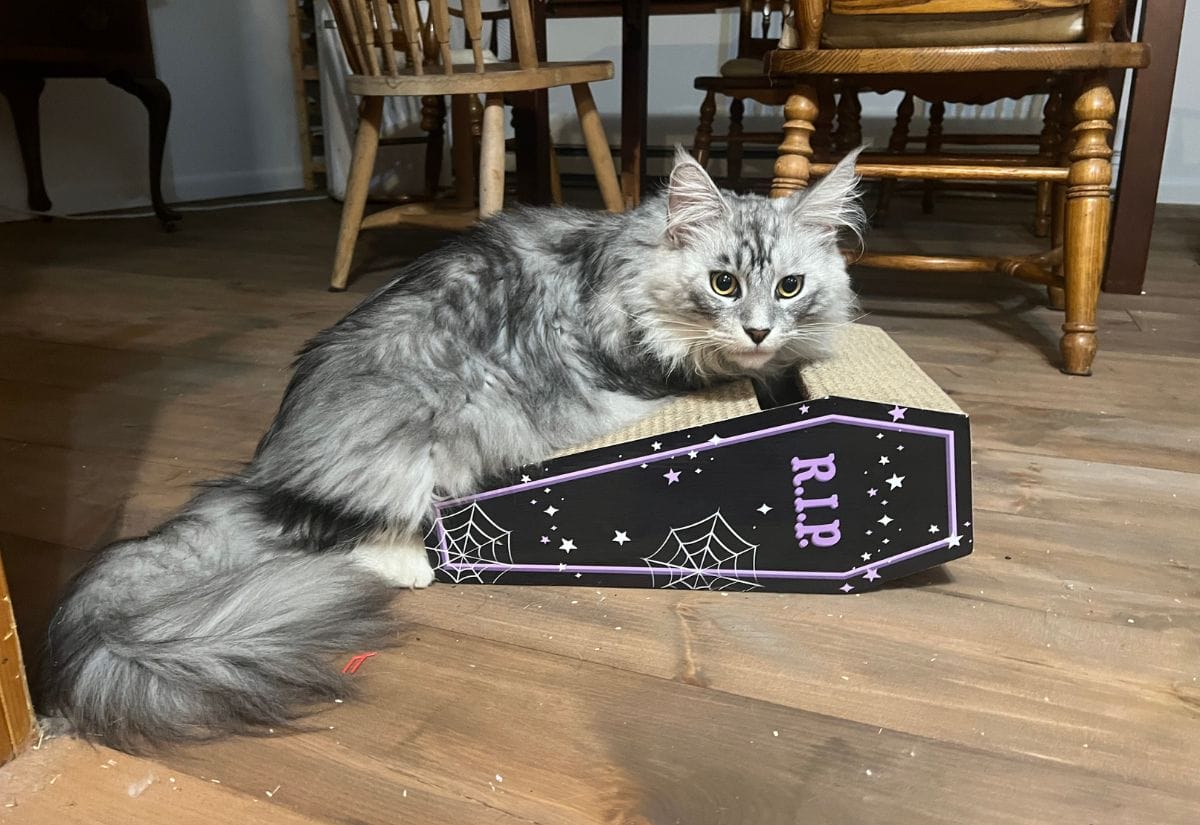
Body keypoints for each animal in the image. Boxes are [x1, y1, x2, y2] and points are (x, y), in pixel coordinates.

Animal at [39, 146, 864, 748]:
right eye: (722, 283)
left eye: (789, 287)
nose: (757, 329)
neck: (623, 260)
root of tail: (264, 471)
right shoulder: (644, 369)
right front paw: (762, 373)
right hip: (430, 433)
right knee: (350, 535)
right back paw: (409, 566)